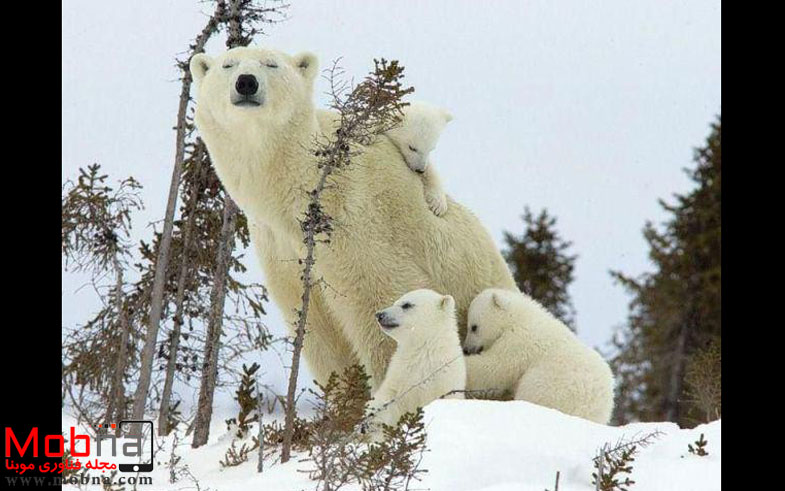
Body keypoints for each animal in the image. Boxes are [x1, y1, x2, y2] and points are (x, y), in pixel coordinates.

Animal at [191, 47, 516, 392]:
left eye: (271, 64)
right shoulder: (280, 248)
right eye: (228, 65)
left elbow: (382, 306)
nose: (246, 82)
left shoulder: (357, 222)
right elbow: (321, 334)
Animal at [370, 290, 466, 428]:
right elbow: (388, 398)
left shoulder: (444, 381)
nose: (379, 314)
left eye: (406, 305)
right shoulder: (399, 376)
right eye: (395, 302)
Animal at [462, 290, 616, 424]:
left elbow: (494, 368)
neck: (519, 317)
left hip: (550, 387)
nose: (466, 349)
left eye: (473, 327)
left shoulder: (519, 341)